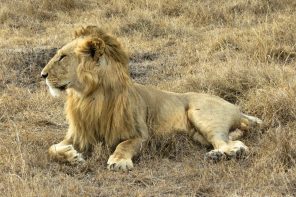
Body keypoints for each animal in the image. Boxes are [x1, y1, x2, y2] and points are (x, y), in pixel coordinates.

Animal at [41, 26, 262, 171]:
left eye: (62, 57)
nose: (42, 75)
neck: (89, 97)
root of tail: (238, 108)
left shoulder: (140, 134)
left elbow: (124, 145)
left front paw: (118, 161)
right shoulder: (79, 134)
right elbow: (51, 149)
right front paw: (72, 156)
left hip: (202, 114)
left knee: (231, 143)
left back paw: (228, 153)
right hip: (197, 134)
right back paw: (217, 155)